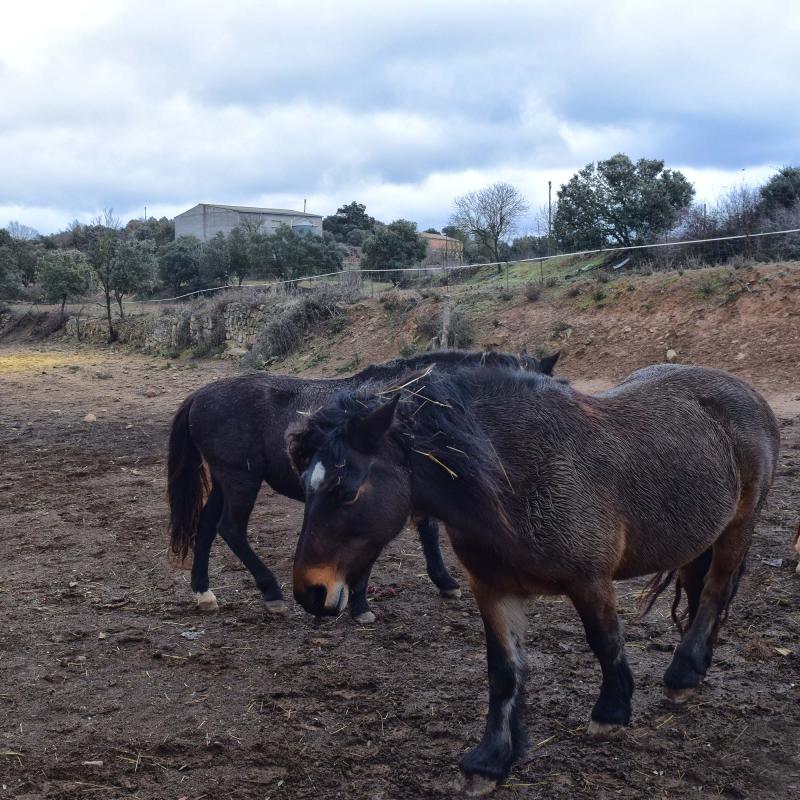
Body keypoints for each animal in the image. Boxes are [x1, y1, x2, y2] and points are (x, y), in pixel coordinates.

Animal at [166, 346, 560, 620]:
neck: (417, 406)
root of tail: (199, 396)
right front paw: (360, 605)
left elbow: (423, 532)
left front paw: (442, 582)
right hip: (240, 479)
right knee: (230, 529)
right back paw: (271, 592)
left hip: (225, 481)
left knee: (206, 527)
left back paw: (203, 592)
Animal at [290, 366, 780, 792]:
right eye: (306, 485)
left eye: (347, 490)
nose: (310, 592)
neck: (514, 478)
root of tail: (748, 392)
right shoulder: (492, 590)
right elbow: (503, 670)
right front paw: (490, 760)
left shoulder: (591, 581)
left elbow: (606, 641)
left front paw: (612, 711)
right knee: (699, 595)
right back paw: (694, 668)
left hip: (737, 528)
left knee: (715, 592)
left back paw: (681, 675)